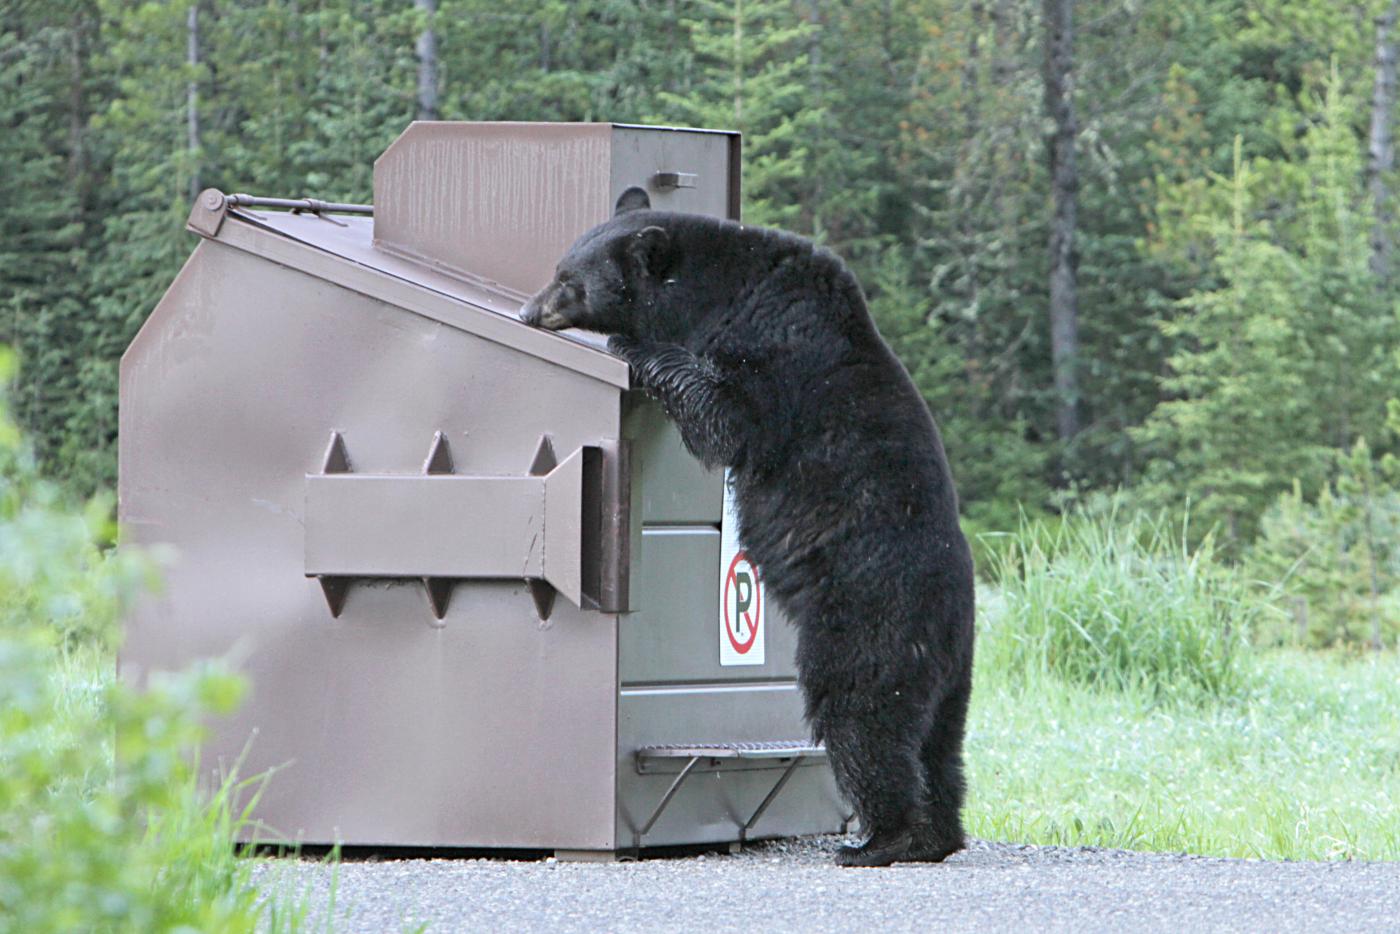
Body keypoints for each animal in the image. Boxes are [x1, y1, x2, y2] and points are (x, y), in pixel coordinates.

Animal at [521, 188, 976, 867]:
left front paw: (634, 348)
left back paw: (880, 839)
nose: (528, 310)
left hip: (868, 622)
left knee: (863, 717)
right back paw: (937, 834)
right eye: (559, 266)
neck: (723, 291)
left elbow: (727, 419)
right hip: (951, 675)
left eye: (570, 280)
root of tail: (948, 623)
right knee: (939, 745)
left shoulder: (776, 353)